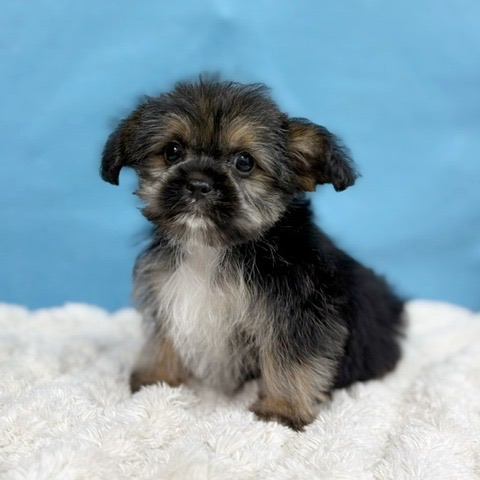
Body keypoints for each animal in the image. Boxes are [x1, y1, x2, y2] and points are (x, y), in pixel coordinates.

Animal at [101, 79, 405, 430]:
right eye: (172, 151)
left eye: (244, 162)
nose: (198, 184)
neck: (215, 248)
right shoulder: (168, 290)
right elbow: (164, 336)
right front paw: (157, 379)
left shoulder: (297, 314)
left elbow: (291, 360)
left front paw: (282, 409)